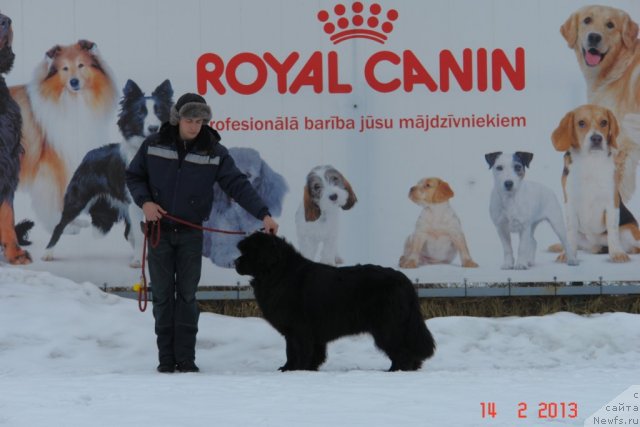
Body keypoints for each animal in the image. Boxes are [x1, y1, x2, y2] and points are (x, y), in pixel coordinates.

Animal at [234, 232, 436, 372]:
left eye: (250, 252)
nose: (235, 262)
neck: (279, 273)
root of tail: (405, 280)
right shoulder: (303, 333)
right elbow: (303, 352)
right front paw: (296, 369)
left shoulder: (299, 329)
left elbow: (297, 350)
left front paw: (295, 369)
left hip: (387, 326)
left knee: (401, 350)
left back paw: (395, 370)